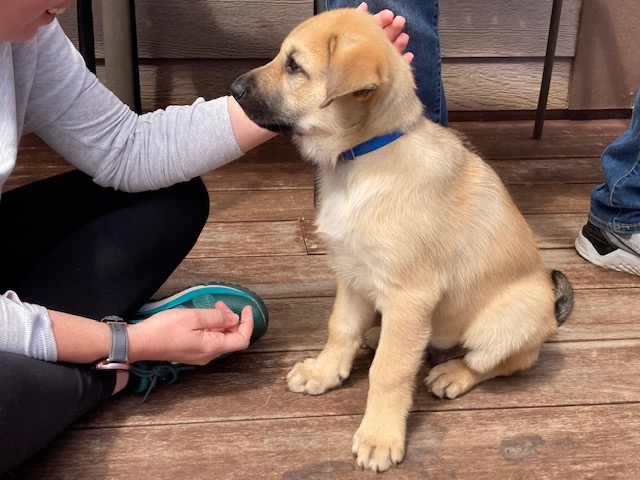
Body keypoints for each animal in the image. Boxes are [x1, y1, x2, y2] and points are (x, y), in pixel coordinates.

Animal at [231, 8, 574, 472]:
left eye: (294, 66)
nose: (232, 90)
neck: (364, 158)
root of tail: (552, 314)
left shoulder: (410, 294)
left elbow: (389, 372)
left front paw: (379, 435)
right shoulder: (352, 274)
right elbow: (340, 328)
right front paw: (325, 371)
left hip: (511, 317)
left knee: (503, 361)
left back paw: (453, 373)